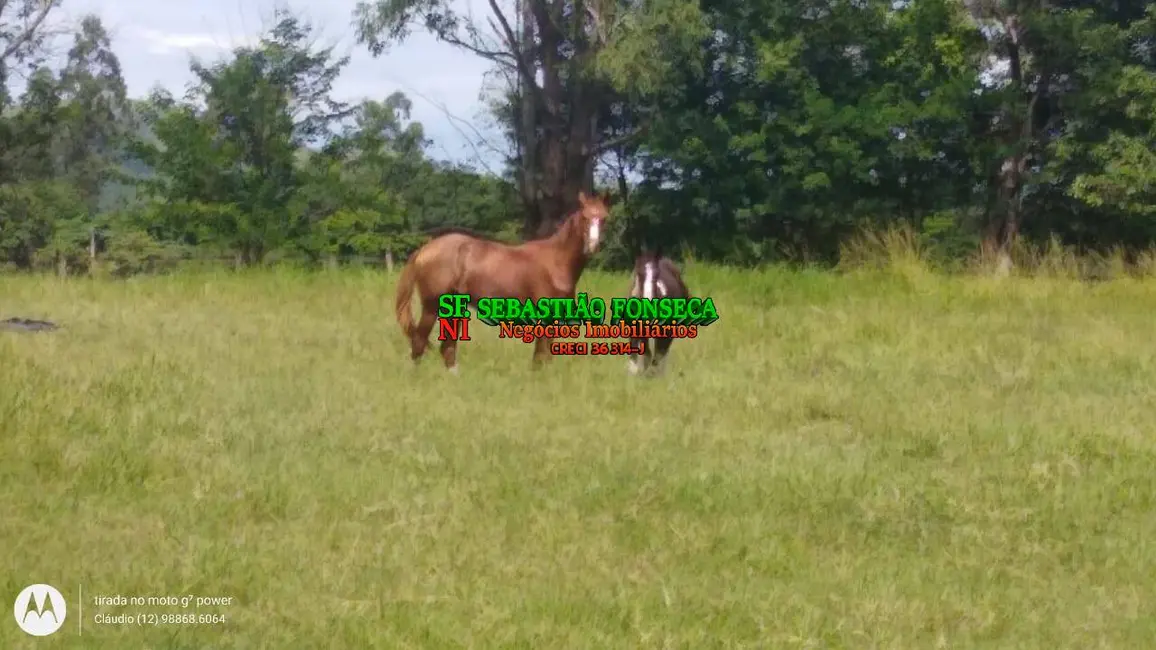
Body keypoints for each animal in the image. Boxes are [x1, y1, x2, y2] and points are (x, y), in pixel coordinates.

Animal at [395, 189, 614, 372]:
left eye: (604, 218)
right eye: (585, 217)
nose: (593, 245)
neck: (555, 261)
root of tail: (425, 249)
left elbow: (545, 353)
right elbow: (540, 354)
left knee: (447, 347)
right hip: (432, 306)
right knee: (419, 341)